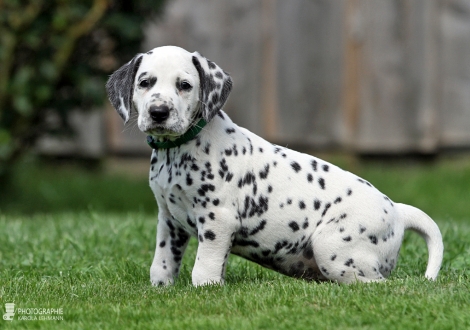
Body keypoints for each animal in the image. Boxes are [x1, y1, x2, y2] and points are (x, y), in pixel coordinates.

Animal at [106, 45, 444, 286]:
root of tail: (397, 210)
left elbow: (204, 269)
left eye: (185, 85)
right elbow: (162, 264)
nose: (158, 112)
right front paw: (161, 288)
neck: (178, 151)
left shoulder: (218, 220)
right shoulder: (169, 220)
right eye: (145, 83)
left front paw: (206, 290)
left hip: (333, 248)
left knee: (378, 285)